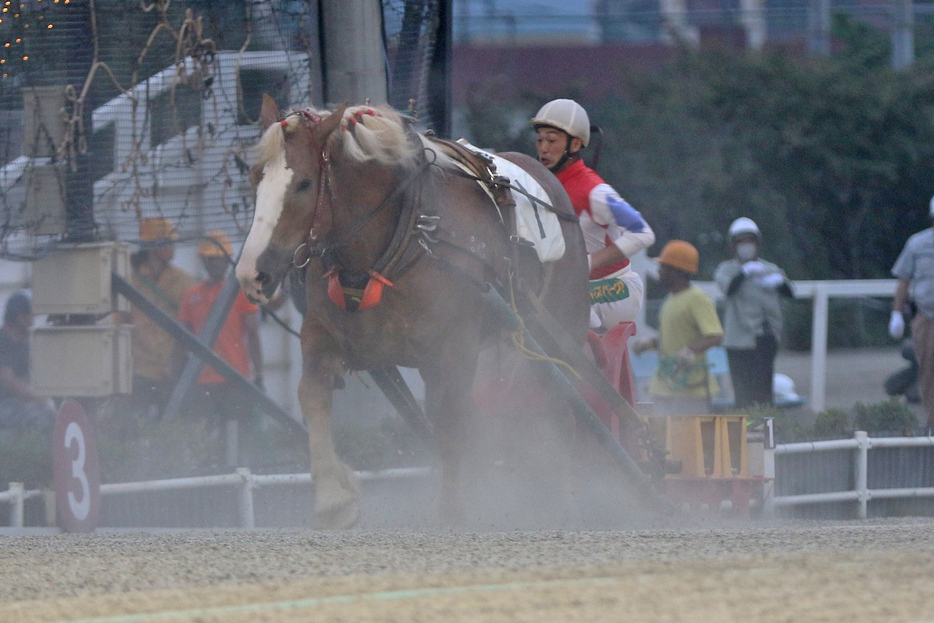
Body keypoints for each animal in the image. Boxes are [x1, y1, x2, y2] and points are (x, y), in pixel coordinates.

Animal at [238, 95, 588, 528]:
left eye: (303, 183)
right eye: (255, 177)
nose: (252, 273)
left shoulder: (457, 347)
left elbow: (452, 427)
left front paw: (452, 513)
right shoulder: (322, 333)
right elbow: (312, 397)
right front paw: (334, 498)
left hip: (553, 333)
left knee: (561, 414)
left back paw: (566, 505)